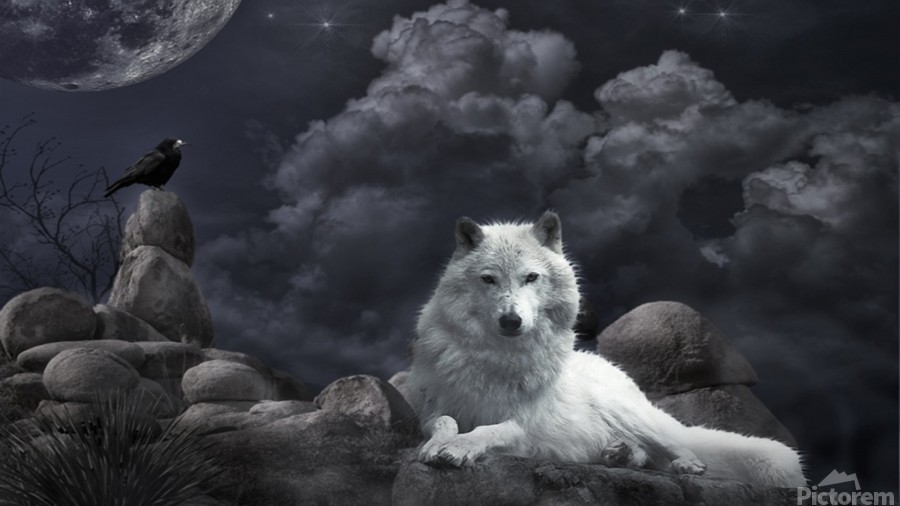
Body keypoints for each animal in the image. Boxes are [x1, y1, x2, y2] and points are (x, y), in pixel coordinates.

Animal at [405, 211, 805, 488]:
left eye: (531, 277)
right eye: (488, 279)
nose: (511, 321)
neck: (496, 358)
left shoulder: (524, 425)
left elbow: (490, 430)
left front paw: (458, 448)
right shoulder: (432, 408)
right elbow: (444, 422)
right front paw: (436, 445)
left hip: (629, 412)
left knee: (673, 445)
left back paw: (684, 464)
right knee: (646, 455)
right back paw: (618, 453)